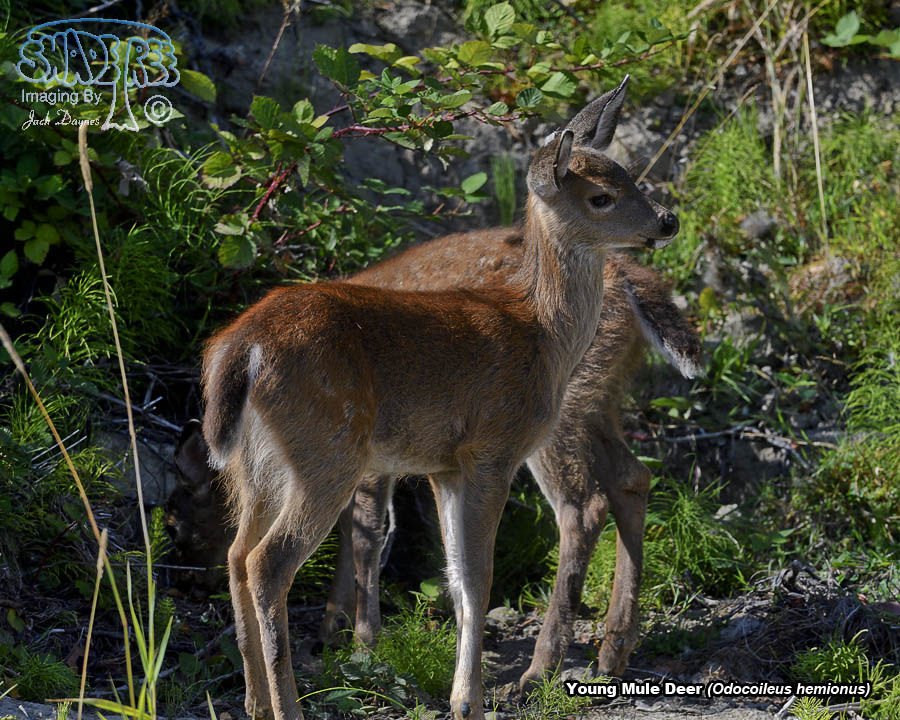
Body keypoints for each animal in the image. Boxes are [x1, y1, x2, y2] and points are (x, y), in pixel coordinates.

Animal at [201, 76, 681, 720]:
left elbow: (456, 579)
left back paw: (255, 700)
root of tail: (243, 348)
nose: (667, 221)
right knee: (266, 563)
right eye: (602, 196)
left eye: (628, 174)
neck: (539, 330)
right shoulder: (491, 449)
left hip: (255, 467)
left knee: (234, 557)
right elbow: (477, 575)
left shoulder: (442, 464)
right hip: (326, 452)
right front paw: (468, 701)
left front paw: (458, 693)